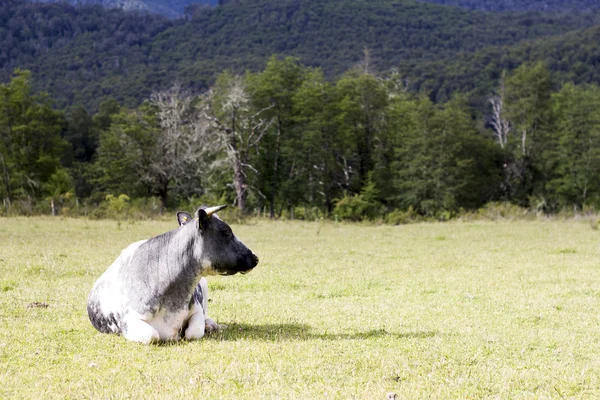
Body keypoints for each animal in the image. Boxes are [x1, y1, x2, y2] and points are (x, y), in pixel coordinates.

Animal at [86, 206, 258, 344]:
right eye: (226, 231)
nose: (255, 257)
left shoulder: (196, 310)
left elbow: (193, 332)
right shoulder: (129, 320)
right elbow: (152, 336)